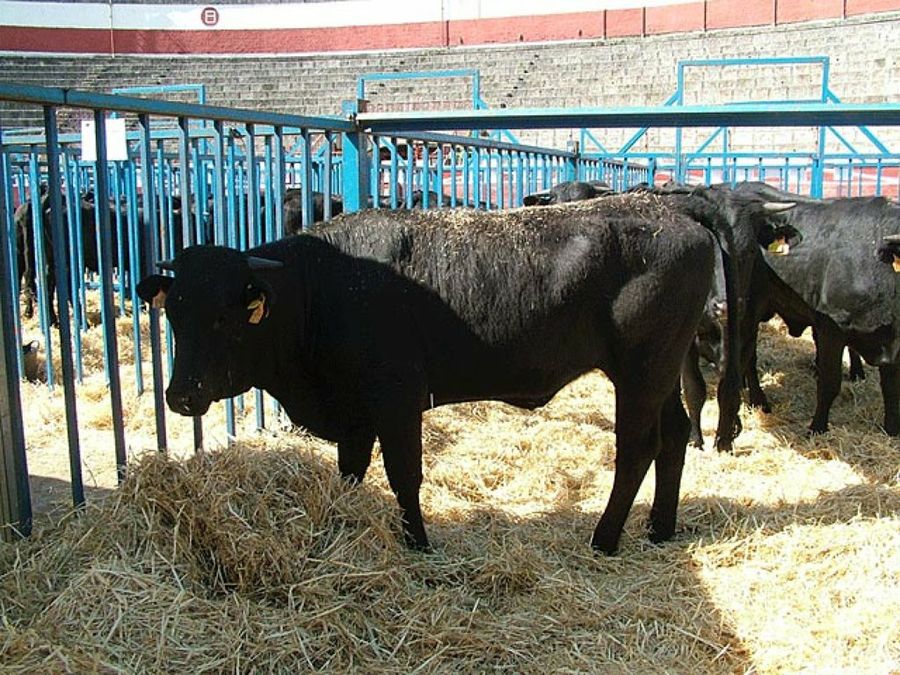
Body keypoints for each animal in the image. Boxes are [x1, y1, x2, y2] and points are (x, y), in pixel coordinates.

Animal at [138, 192, 744, 554]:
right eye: (174, 313)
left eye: (224, 317)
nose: (181, 394)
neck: (322, 287)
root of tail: (672, 206)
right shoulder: (354, 412)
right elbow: (350, 473)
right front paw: (341, 525)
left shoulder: (397, 398)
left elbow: (405, 476)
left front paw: (419, 543)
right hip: (658, 373)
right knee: (673, 435)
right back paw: (660, 527)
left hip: (641, 371)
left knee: (638, 447)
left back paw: (606, 536)